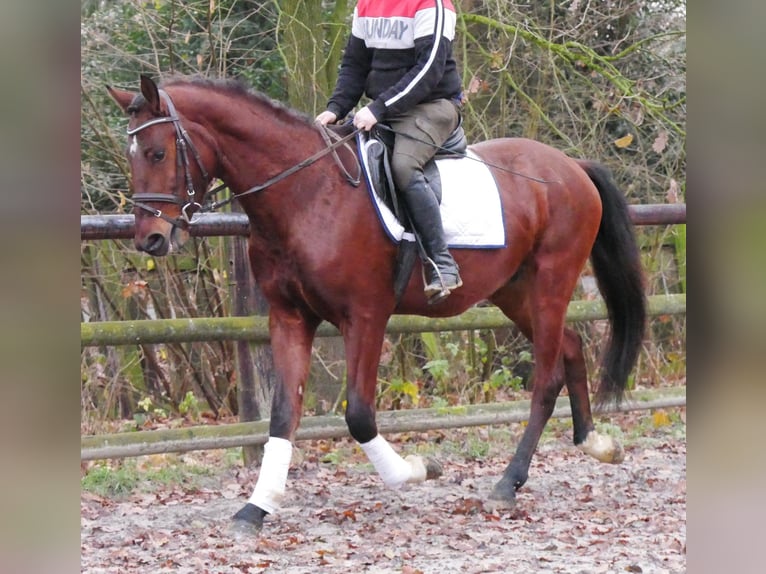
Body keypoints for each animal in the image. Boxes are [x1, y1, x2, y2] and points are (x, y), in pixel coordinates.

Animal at [107, 75, 646, 530]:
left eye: (157, 153)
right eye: (132, 156)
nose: (150, 239)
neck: (306, 195)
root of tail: (571, 166)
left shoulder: (364, 317)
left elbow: (360, 415)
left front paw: (418, 469)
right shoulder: (290, 318)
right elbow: (283, 414)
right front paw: (255, 508)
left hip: (551, 281)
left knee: (547, 378)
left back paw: (509, 482)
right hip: (513, 290)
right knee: (571, 346)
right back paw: (596, 444)